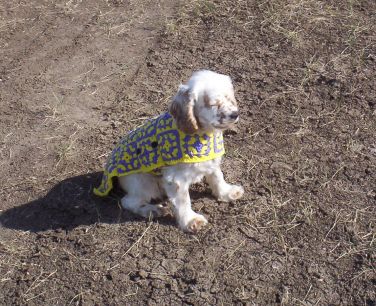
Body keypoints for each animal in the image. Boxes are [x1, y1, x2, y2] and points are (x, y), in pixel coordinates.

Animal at [94, 70, 244, 232]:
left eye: (229, 98)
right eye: (213, 104)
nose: (235, 114)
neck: (203, 135)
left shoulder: (211, 161)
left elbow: (217, 177)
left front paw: (227, 192)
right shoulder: (176, 179)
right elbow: (183, 201)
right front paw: (191, 221)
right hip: (145, 183)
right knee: (127, 201)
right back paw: (152, 210)